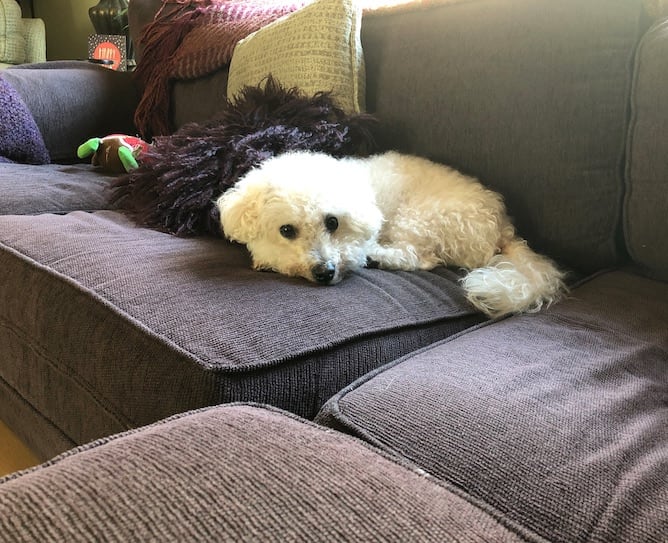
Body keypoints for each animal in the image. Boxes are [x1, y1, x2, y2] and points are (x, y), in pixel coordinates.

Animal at [216, 151, 567, 317]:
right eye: (286, 230)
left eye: (332, 222)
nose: (325, 272)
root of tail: (503, 227)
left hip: (417, 219)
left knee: (420, 258)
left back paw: (377, 255)